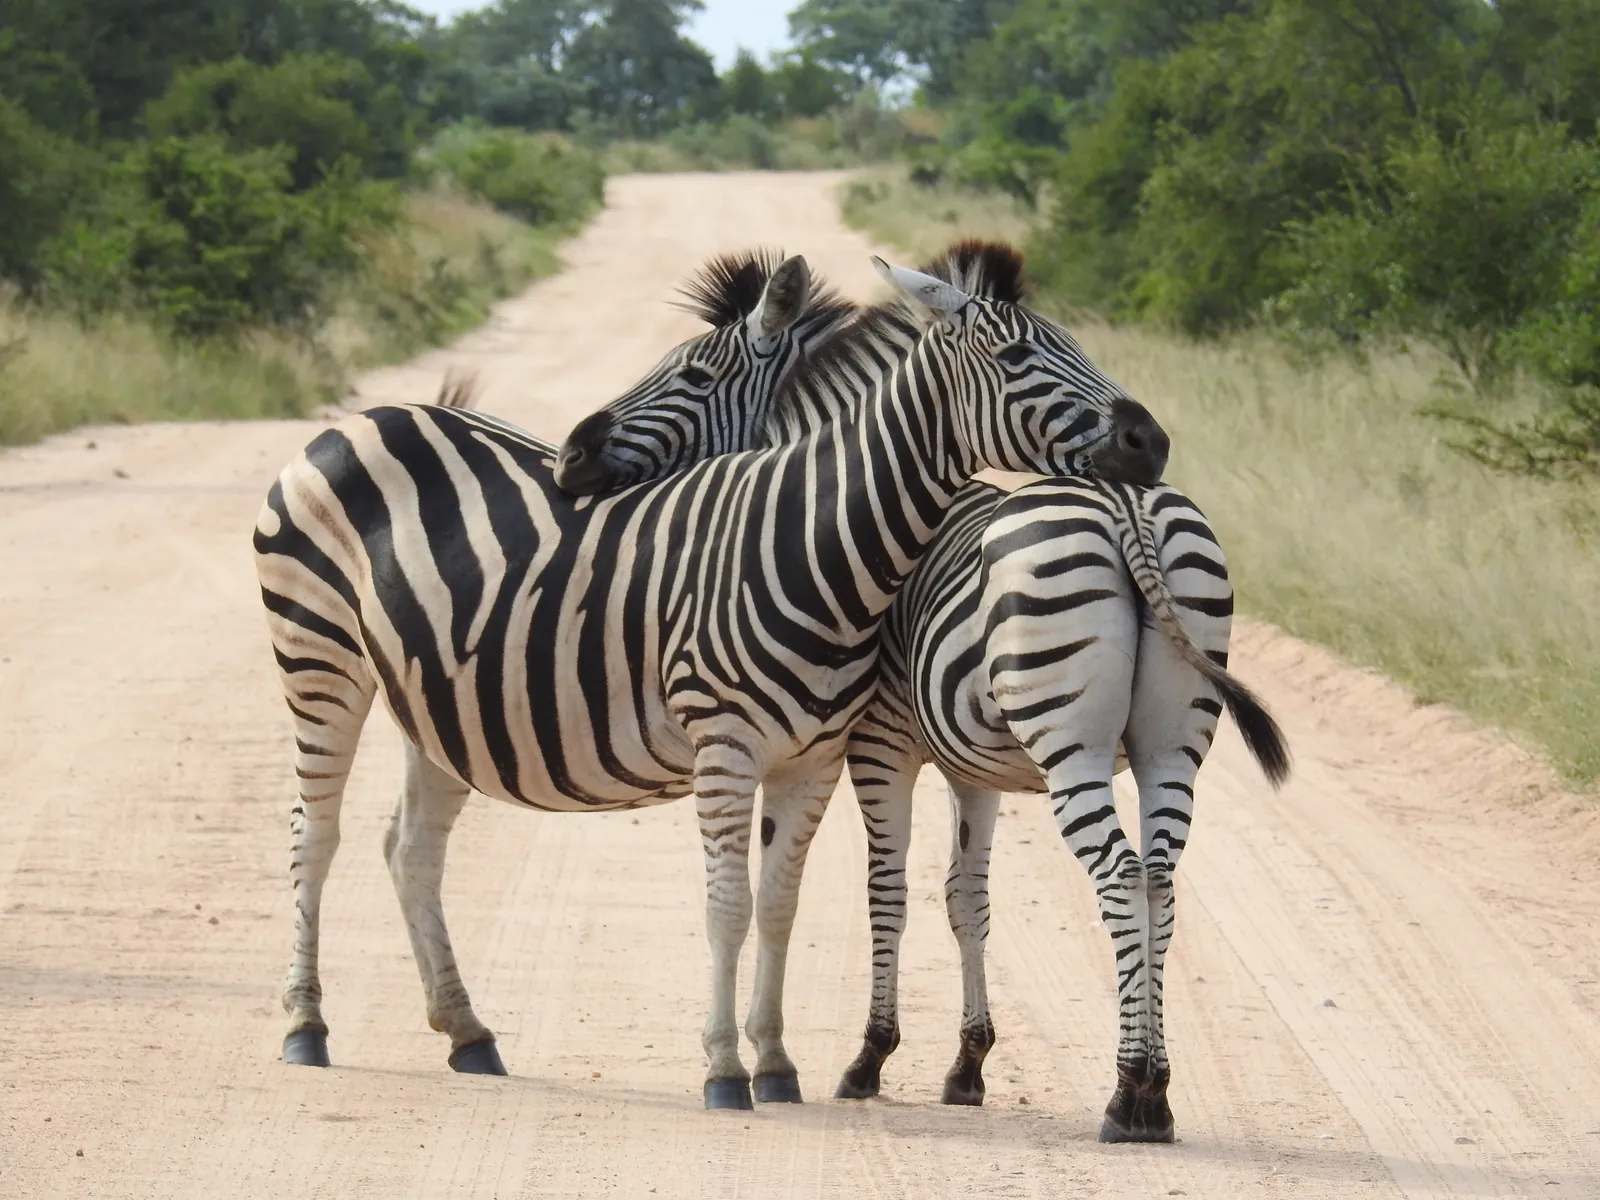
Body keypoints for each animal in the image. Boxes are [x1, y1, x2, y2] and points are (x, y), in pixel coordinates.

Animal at [252, 244, 1168, 1110]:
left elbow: (778, 903)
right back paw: (306, 1025)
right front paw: (726, 1071)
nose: (1151, 441)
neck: (809, 544)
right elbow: (726, 906)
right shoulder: (726, 751)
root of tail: (365, 418)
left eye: (693, 374)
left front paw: (777, 1065)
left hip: (434, 700)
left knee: (410, 850)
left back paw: (467, 1032)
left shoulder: (812, 760)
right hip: (320, 657)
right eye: (1018, 357)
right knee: (313, 834)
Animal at [554, 239, 1289, 1141]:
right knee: (1158, 878)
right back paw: (1158, 1091)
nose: (572, 454)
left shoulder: (879, 746)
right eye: (1027, 353)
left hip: (1071, 742)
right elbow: (965, 899)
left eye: (690, 373)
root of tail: (1130, 512)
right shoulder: (978, 771)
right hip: (1173, 743)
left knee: (1120, 876)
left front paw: (870, 1058)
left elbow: (889, 892)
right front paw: (967, 1064)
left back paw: (1127, 1094)